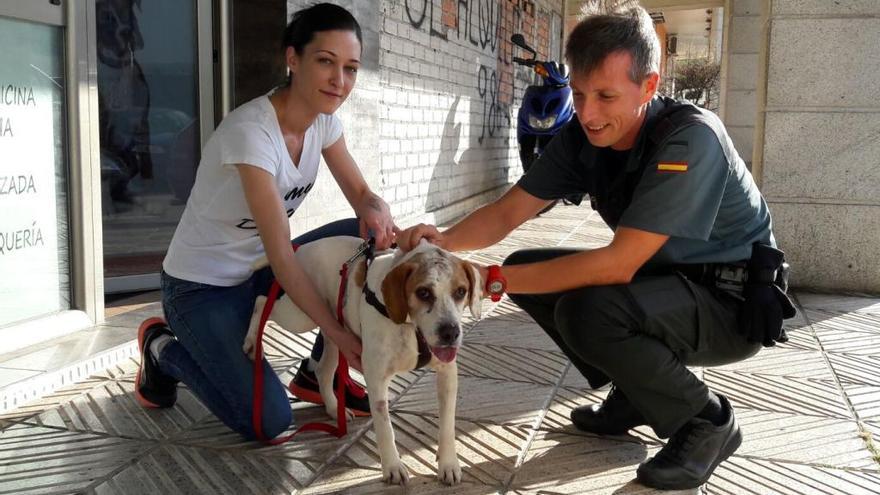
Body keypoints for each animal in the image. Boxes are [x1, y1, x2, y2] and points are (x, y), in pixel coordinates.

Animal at [242, 236, 482, 484]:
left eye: (461, 291)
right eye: (423, 292)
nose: (450, 333)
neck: (410, 326)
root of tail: (301, 249)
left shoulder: (447, 375)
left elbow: (447, 425)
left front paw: (449, 463)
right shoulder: (376, 378)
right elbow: (385, 428)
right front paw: (392, 466)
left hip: (333, 334)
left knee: (323, 372)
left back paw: (333, 407)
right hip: (298, 316)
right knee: (261, 301)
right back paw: (252, 342)